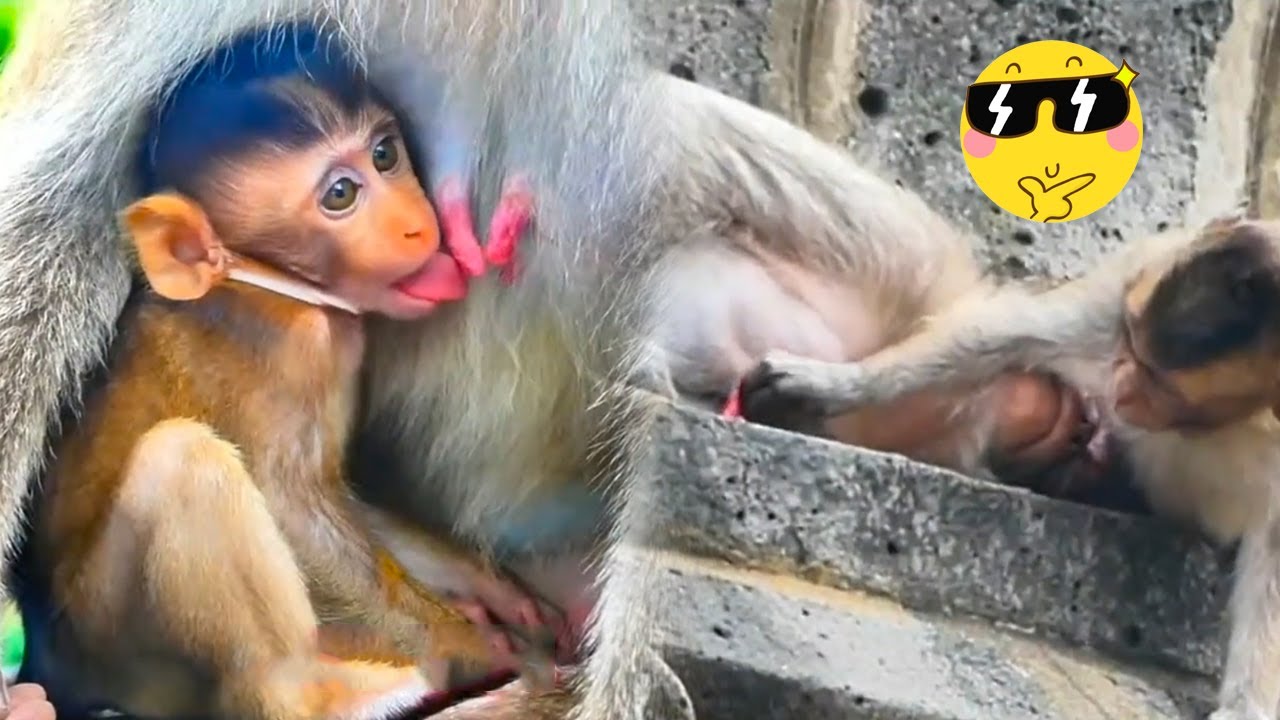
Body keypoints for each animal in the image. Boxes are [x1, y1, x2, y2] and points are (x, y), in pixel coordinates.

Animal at [15, 27, 563, 720]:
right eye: (340, 195)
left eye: (385, 155)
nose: (418, 225)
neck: (269, 283)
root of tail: (54, 664)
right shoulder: (297, 354)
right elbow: (295, 509)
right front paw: (479, 648)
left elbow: (338, 496)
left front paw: (490, 590)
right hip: (117, 645)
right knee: (184, 462)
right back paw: (313, 693)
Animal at [735, 214, 1280, 720]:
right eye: (1128, 342)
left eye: (1160, 385)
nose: (1120, 388)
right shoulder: (1141, 271)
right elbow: (1009, 335)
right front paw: (830, 383)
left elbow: (1271, 551)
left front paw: (1244, 706)